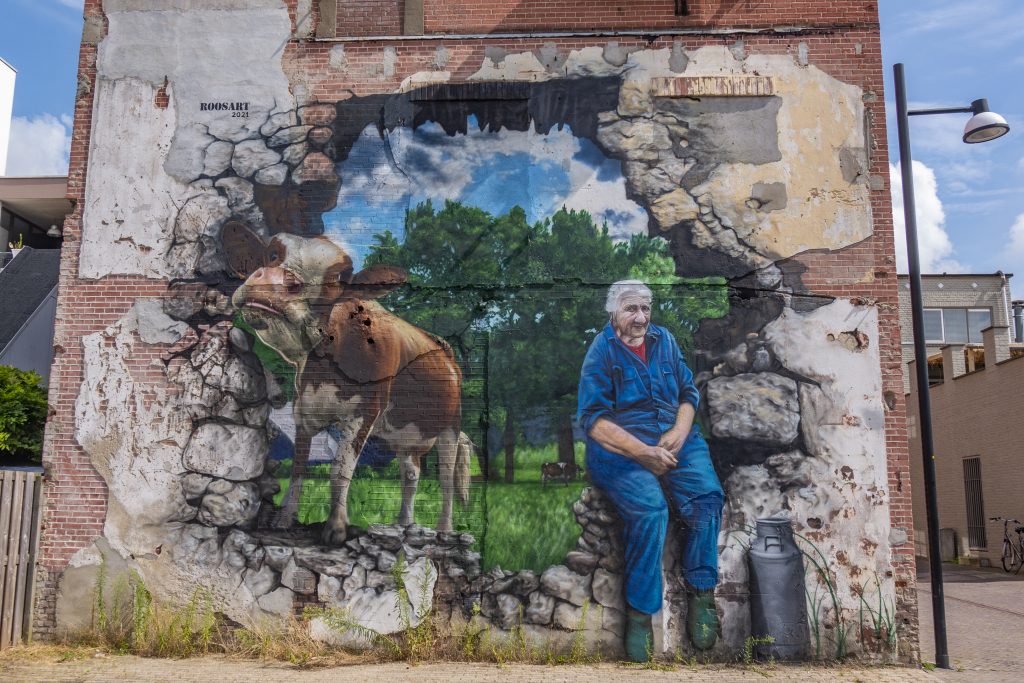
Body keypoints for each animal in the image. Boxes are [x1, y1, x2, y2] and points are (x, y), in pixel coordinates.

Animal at [226, 227, 468, 548]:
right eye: (272, 254)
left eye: (338, 279)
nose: (273, 281)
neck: (322, 365)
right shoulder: (304, 411)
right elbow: (299, 466)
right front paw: (284, 518)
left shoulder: (364, 413)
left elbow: (340, 470)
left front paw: (336, 527)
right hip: (405, 435)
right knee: (411, 474)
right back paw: (404, 523)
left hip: (450, 426)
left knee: (446, 478)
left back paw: (443, 529)